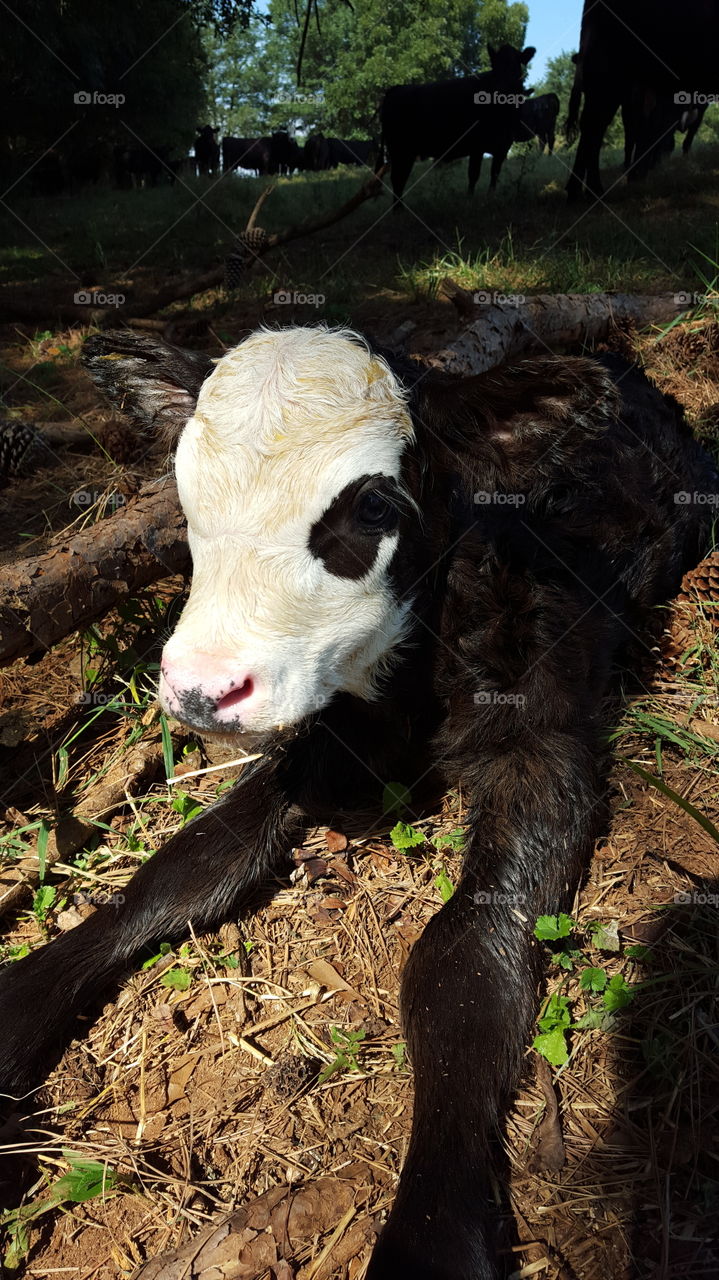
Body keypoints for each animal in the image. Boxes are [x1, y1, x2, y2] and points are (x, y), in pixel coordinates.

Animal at [0, 324, 715, 1278]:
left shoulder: (546, 751)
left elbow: (462, 956)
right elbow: (180, 870)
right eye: (185, 495)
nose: (199, 690)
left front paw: (430, 1236)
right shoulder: (326, 741)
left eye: (373, 509)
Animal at [378, 43, 535, 209]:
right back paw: (398, 209)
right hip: (399, 149)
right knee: (398, 179)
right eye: (495, 66)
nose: (502, 90)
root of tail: (396, 88)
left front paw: (490, 198)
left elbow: (494, 175)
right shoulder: (477, 146)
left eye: (516, 66)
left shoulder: (502, 146)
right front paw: (469, 201)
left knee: (400, 178)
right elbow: (473, 175)